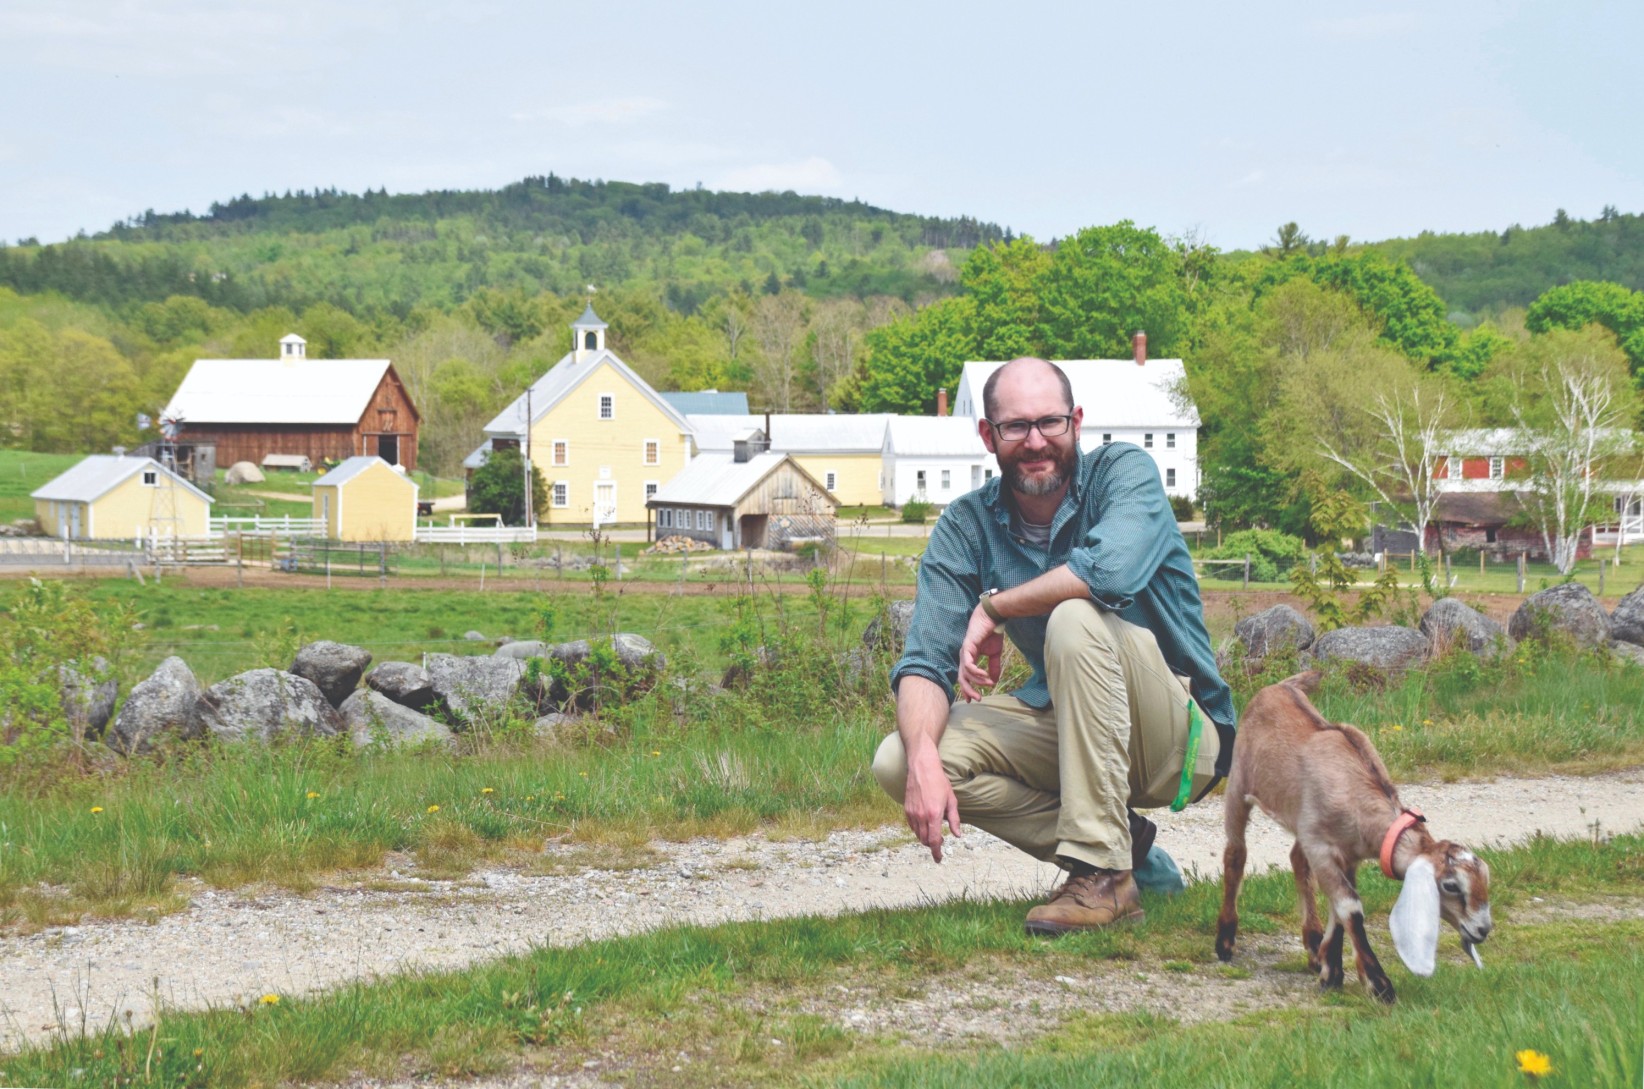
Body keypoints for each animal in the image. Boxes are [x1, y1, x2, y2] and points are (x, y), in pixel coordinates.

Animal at [1215, 671, 1492, 1003]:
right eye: (1450, 885)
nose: (1483, 929)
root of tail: (1280, 686)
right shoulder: (1321, 847)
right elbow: (1350, 907)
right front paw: (1378, 984)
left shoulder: (1348, 855)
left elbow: (1339, 908)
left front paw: (1330, 969)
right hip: (1238, 785)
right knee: (1236, 853)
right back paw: (1225, 939)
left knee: (1297, 861)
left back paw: (1312, 944)